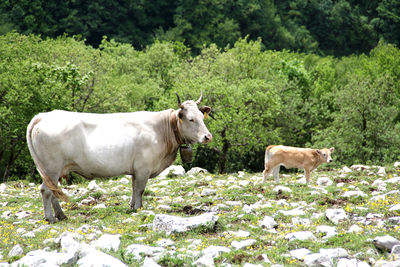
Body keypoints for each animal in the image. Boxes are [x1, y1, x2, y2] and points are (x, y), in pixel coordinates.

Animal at [27, 93, 212, 223]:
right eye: (191, 119)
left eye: (202, 117)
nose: (208, 136)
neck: (160, 129)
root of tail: (44, 115)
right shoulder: (143, 168)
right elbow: (140, 189)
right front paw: (139, 208)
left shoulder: (136, 170)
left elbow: (133, 188)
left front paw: (132, 206)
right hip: (52, 168)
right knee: (46, 191)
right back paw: (50, 218)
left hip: (55, 171)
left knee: (54, 192)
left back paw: (61, 215)